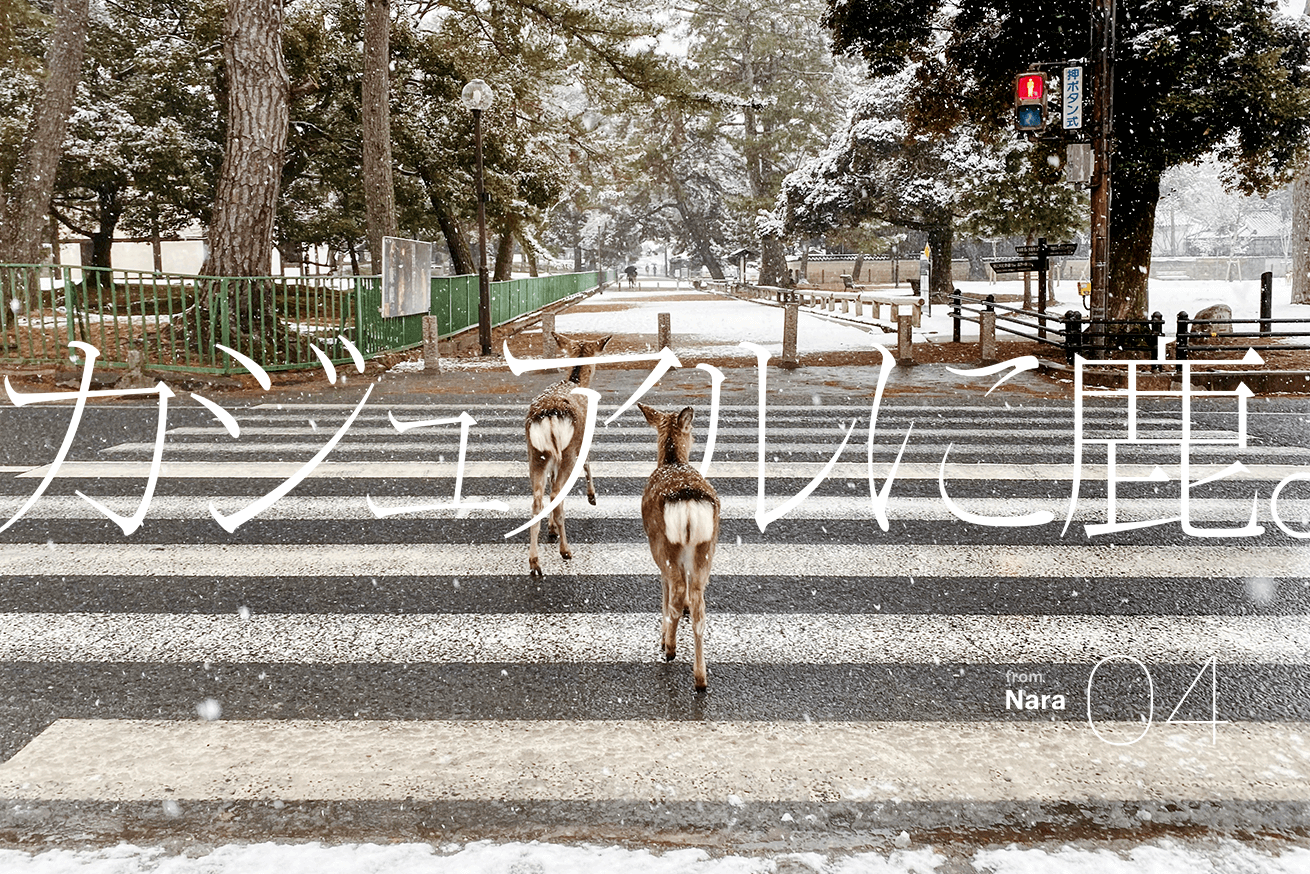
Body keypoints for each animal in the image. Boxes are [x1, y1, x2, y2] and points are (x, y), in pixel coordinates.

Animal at [524, 332, 611, 577]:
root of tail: (550, 416)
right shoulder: (582, 441)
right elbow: (588, 464)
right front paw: (592, 497)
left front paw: (551, 528)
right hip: (567, 451)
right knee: (556, 494)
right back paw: (565, 550)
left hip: (536, 453)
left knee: (537, 498)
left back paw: (535, 562)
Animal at [637, 403, 720, 691]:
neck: (671, 460)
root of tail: (688, 506)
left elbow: (664, 590)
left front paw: (663, 636)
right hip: (706, 549)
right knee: (699, 606)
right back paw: (701, 678)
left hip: (665, 546)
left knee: (675, 590)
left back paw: (669, 647)